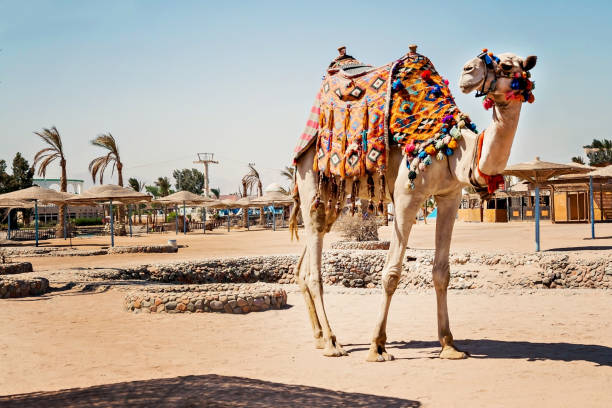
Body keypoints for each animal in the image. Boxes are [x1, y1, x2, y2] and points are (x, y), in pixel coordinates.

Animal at [290, 47, 536, 360]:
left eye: (507, 65)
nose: (468, 71)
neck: (453, 150)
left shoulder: (449, 197)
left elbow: (442, 273)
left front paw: (449, 344)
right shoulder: (407, 197)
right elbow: (391, 274)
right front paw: (377, 346)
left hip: (333, 193)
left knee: (308, 255)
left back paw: (320, 338)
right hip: (310, 177)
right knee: (313, 269)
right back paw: (333, 343)